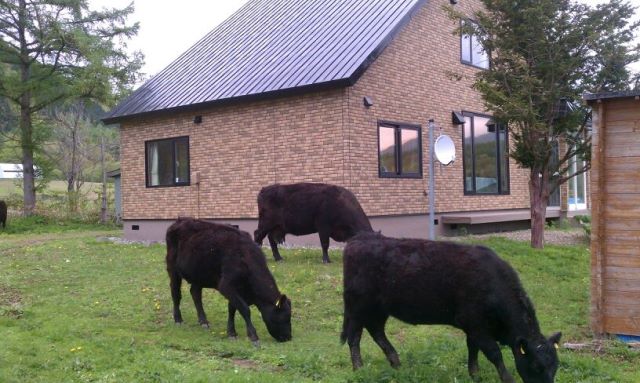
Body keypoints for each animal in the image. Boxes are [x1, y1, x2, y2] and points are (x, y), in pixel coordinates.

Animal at [166, 218, 294, 346]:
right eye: (285, 317)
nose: (288, 337)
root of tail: (180, 220)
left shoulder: (236, 290)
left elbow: (232, 309)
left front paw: (231, 333)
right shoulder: (226, 286)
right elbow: (244, 309)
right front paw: (253, 336)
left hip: (198, 274)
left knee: (195, 293)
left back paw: (203, 321)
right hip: (173, 269)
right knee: (176, 293)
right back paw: (178, 319)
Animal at [340, 231, 560, 383]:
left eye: (556, 365)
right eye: (536, 366)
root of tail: (359, 239)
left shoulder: (473, 328)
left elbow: (473, 349)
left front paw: (474, 375)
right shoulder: (477, 326)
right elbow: (494, 353)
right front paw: (507, 379)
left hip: (378, 309)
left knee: (376, 331)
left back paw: (396, 363)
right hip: (358, 306)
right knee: (354, 336)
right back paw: (359, 368)